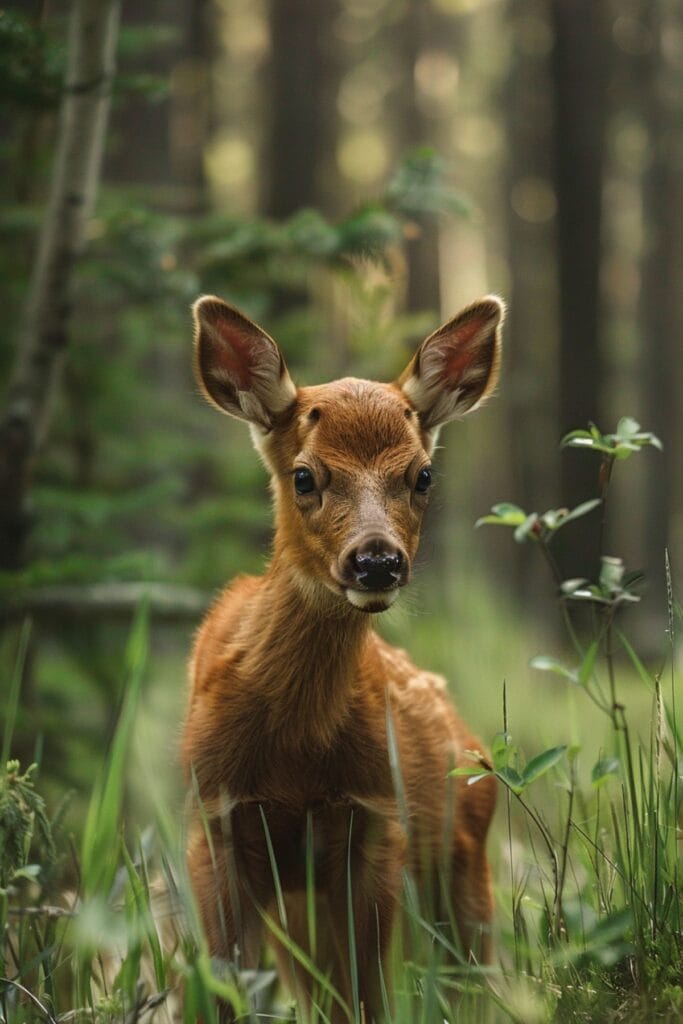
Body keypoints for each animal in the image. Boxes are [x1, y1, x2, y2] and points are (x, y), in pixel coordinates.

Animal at [181, 292, 501, 1019]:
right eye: (304, 475)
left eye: (422, 475)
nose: (377, 561)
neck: (293, 760)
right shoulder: (212, 823)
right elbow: (223, 992)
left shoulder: (376, 822)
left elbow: (366, 998)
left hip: (463, 860)